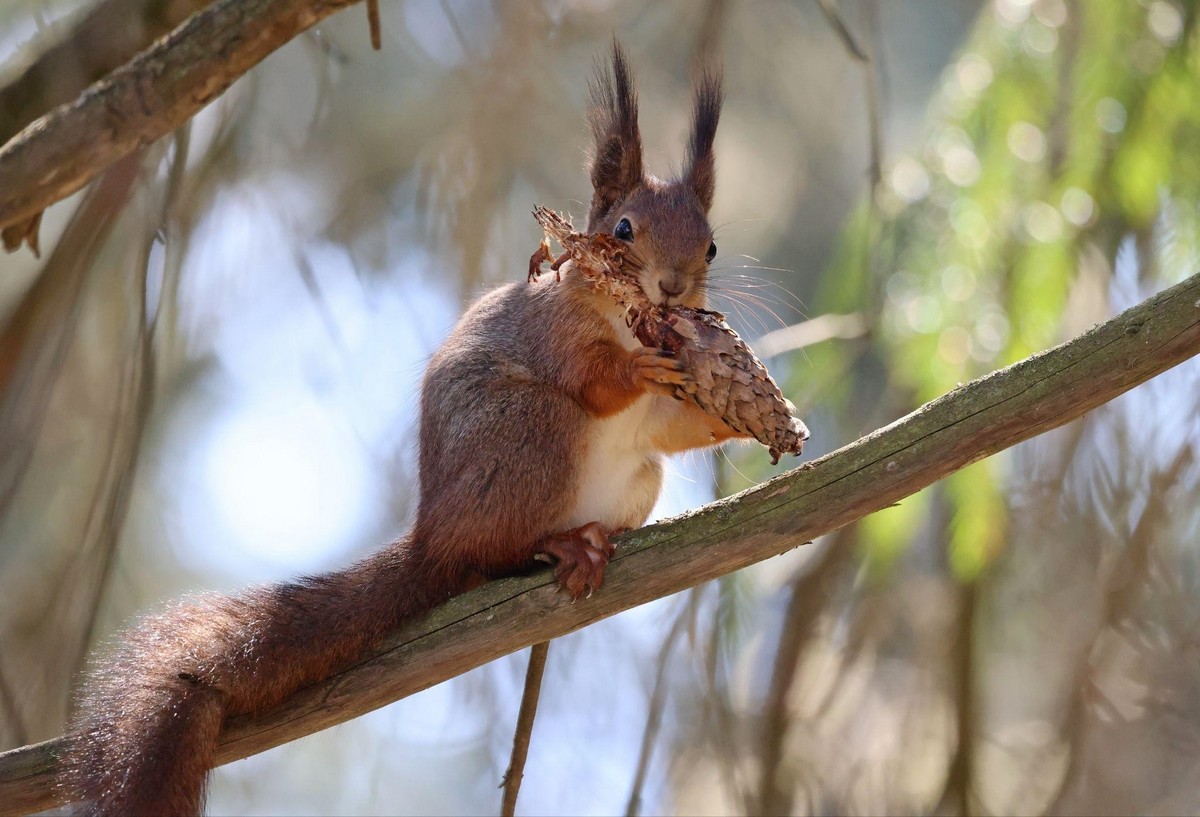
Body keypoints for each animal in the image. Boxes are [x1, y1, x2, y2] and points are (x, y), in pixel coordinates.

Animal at [61, 43, 747, 816]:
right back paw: (559, 546)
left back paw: (599, 538)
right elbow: (596, 381)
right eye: (624, 230)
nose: (674, 287)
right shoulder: (555, 335)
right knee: (489, 554)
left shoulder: (658, 419)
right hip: (533, 437)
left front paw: (742, 413)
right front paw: (643, 370)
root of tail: (432, 537)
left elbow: (674, 427)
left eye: (710, 247)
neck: (629, 322)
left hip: (634, 480)